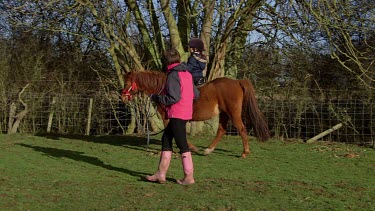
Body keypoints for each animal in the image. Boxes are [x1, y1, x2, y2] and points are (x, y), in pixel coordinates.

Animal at [122, 71, 272, 157]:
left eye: (127, 82)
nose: (123, 97)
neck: (164, 89)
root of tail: (237, 81)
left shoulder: (168, 117)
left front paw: (190, 148)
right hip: (224, 113)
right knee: (221, 130)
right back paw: (209, 150)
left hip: (233, 113)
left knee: (241, 129)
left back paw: (245, 152)